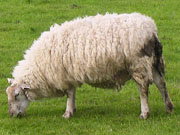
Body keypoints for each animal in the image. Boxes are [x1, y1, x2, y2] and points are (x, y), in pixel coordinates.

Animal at [5, 12, 173, 118]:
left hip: (139, 65)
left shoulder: (64, 75)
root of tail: (151, 30)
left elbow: (69, 94)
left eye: (17, 95)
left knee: (143, 90)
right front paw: (73, 109)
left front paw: (67, 113)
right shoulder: (70, 74)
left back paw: (144, 113)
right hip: (154, 63)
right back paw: (169, 108)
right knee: (161, 84)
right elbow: (72, 93)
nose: (12, 115)